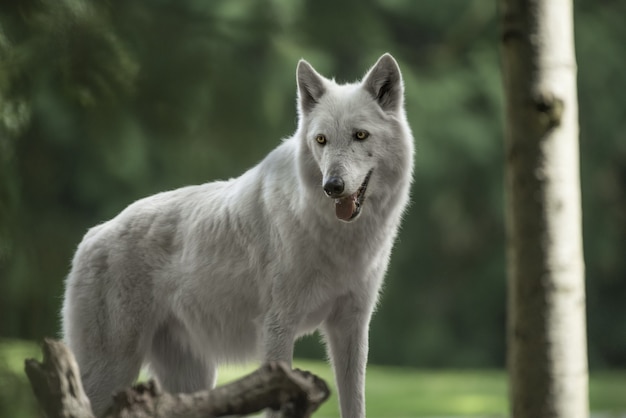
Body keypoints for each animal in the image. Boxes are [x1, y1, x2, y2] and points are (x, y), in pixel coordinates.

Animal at [63, 54, 414, 416]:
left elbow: (355, 404)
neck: (337, 238)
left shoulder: (351, 326)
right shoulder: (278, 328)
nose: (332, 186)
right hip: (111, 372)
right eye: (321, 140)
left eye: (360, 135)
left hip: (192, 379)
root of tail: (91, 236)